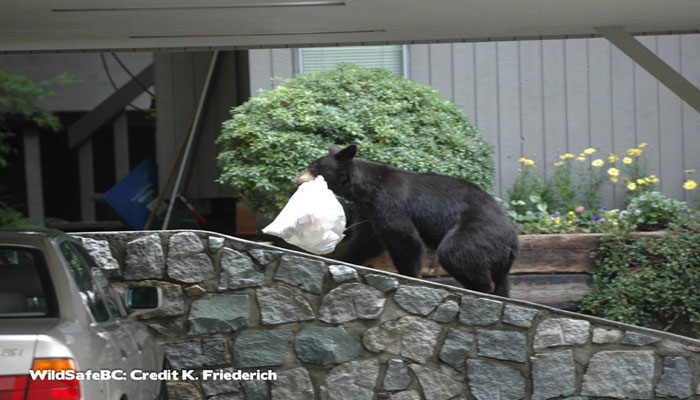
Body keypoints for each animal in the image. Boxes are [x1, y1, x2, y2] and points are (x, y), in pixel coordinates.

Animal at [292, 145, 516, 296]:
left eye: (314, 168)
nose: (295, 180)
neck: (366, 188)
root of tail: (512, 239)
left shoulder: (389, 201)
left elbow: (402, 237)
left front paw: (410, 275)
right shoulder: (368, 209)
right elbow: (366, 240)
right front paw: (345, 258)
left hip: (477, 229)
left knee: (456, 252)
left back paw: (480, 288)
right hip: (498, 255)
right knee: (501, 280)